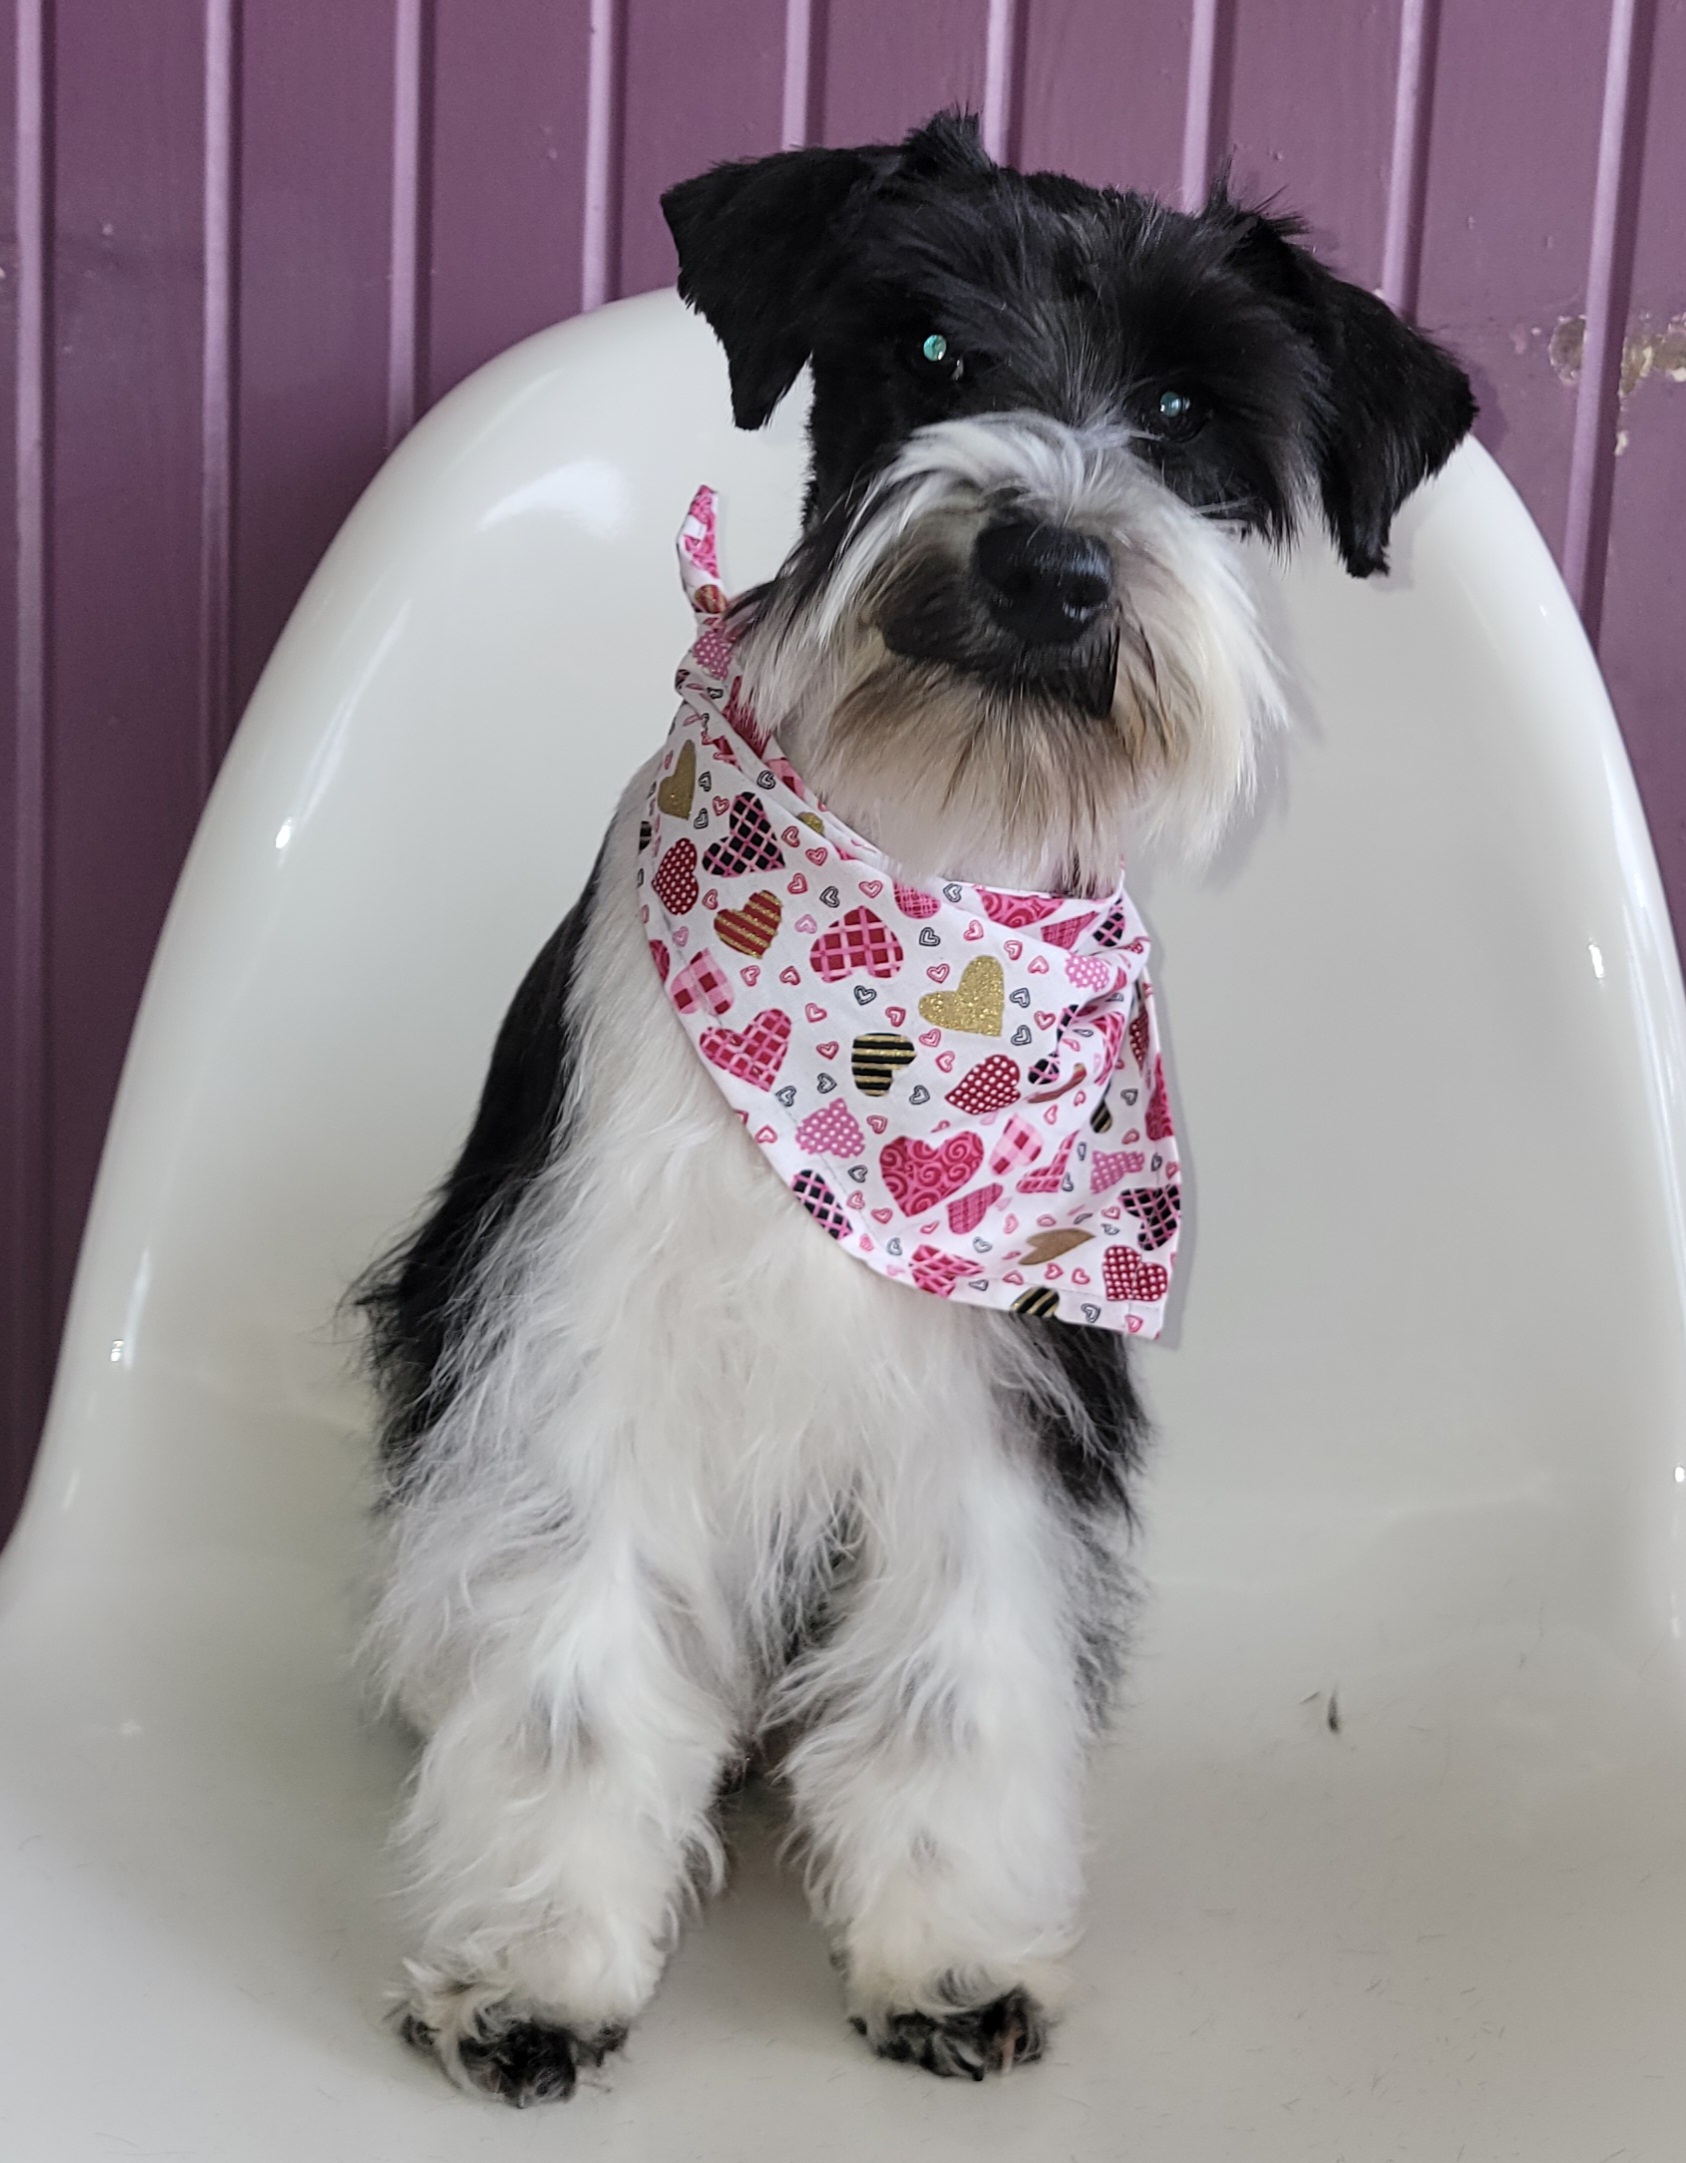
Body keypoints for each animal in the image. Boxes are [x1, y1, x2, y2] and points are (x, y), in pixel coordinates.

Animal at [360, 110, 1475, 2103]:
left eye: (1184, 408)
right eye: (930, 350)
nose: (1047, 564)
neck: (921, 860)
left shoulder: (990, 1397)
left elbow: (958, 1677)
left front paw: (947, 1958)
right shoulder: (580, 1350)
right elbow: (568, 1680)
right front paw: (535, 1970)